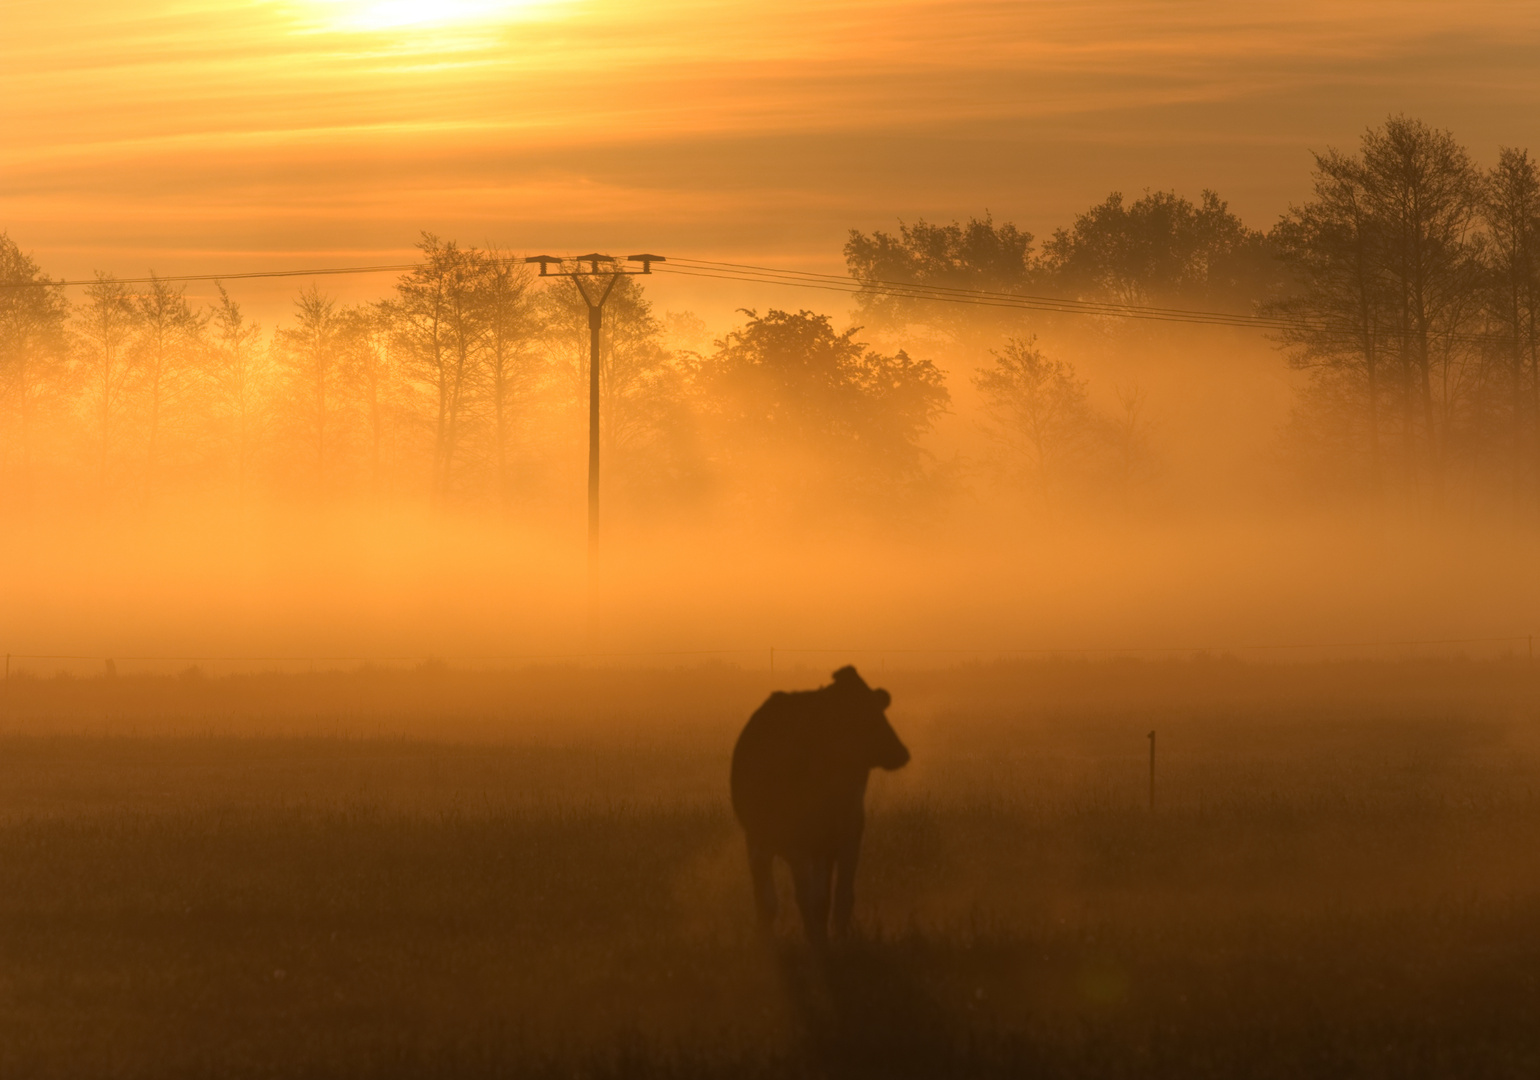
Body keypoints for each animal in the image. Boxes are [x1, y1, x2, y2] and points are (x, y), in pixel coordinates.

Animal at [726, 665, 905, 942]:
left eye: (877, 709)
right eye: (856, 716)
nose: (900, 752)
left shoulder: (848, 836)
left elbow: (839, 898)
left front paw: (839, 941)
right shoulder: (795, 842)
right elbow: (803, 899)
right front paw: (815, 942)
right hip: (760, 840)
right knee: (769, 898)